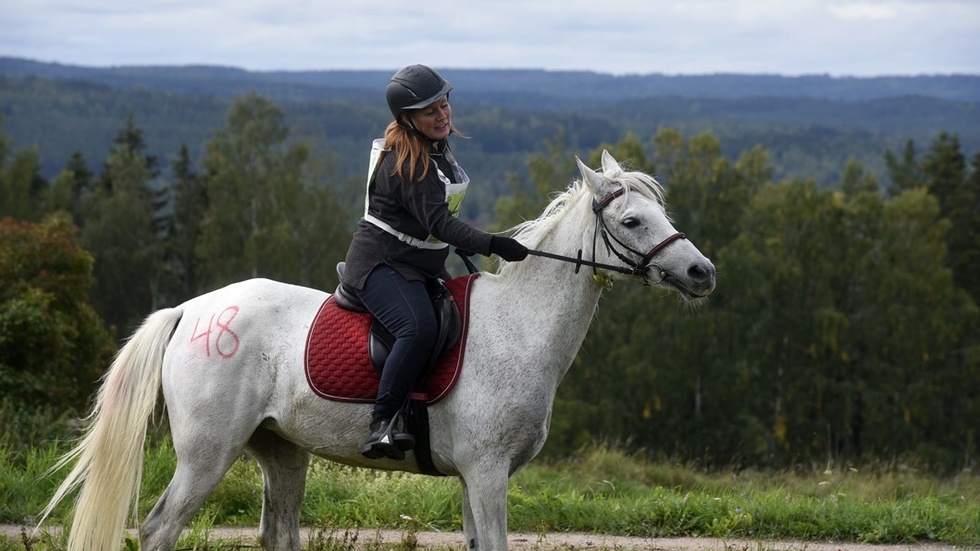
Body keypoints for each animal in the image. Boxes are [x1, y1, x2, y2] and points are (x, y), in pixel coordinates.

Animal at [40, 152, 712, 551]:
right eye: (631, 222)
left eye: (659, 211)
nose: (702, 272)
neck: (520, 329)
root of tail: (191, 311)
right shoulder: (486, 472)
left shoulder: (476, 478)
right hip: (207, 455)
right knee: (159, 529)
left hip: (282, 452)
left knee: (277, 532)